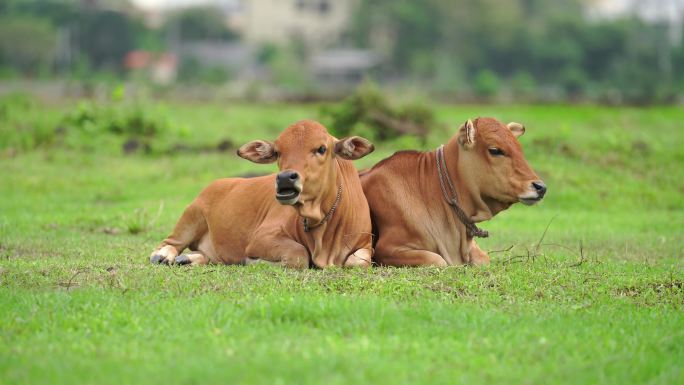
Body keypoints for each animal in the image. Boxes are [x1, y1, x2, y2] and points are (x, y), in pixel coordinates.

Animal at [150, 120, 374, 268]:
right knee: (169, 243)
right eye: (278, 152)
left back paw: (188, 259)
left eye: (321, 148)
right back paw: (164, 256)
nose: (285, 178)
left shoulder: (365, 245)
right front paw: (255, 261)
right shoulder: (262, 238)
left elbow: (358, 261)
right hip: (190, 217)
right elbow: (298, 255)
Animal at [360, 117, 548, 266]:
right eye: (495, 150)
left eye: (519, 149)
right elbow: (438, 260)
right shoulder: (388, 248)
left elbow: (484, 259)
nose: (541, 187)